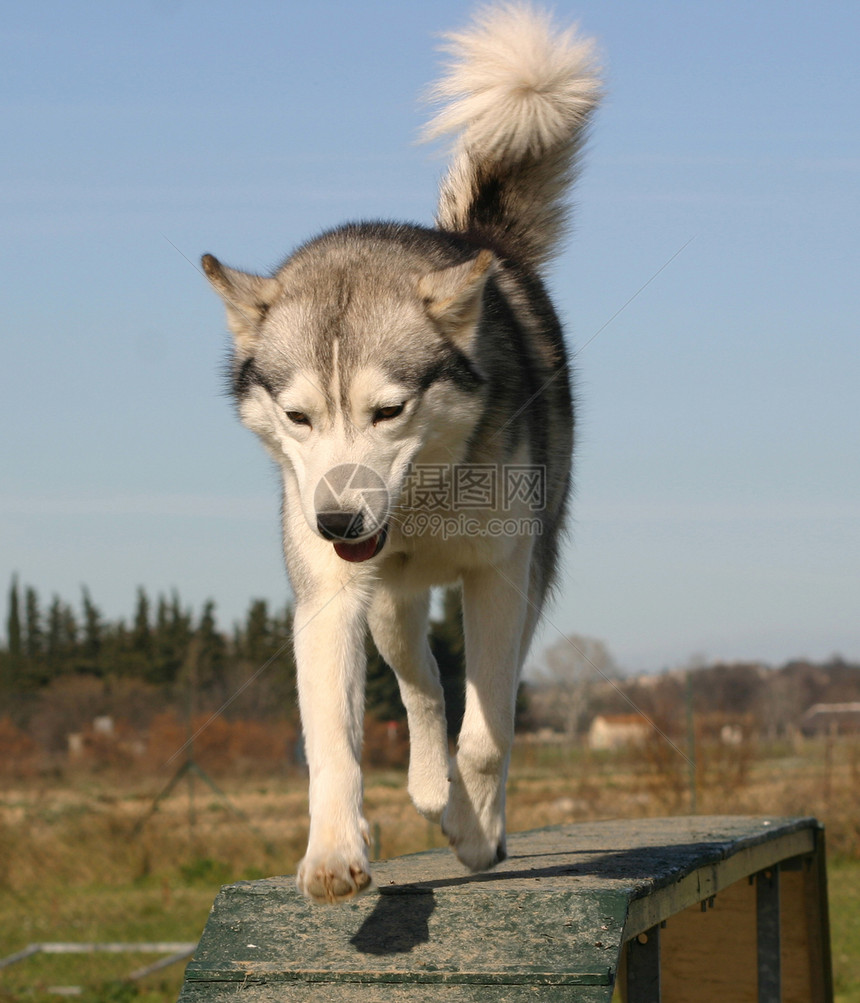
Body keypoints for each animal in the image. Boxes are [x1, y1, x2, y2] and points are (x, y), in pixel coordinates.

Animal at [203, 3, 602, 906]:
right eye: (299, 416)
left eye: (389, 410)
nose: (338, 518)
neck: (424, 500)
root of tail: (475, 240)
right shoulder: (329, 594)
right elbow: (334, 739)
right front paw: (332, 851)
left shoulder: (499, 576)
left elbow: (489, 734)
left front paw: (476, 832)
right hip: (389, 606)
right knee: (424, 688)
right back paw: (426, 786)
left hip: (532, 572)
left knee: (483, 701)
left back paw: (471, 816)